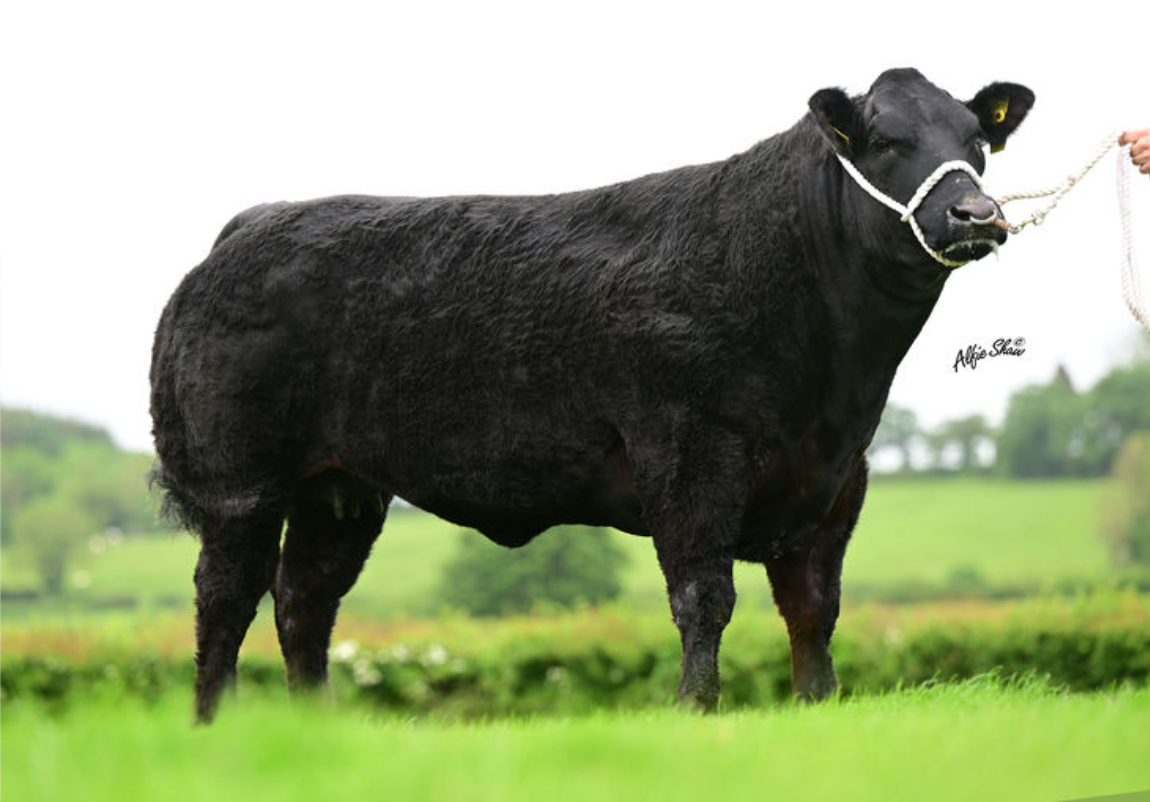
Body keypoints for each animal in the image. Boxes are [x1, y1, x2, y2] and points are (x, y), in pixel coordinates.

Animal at [150, 68, 1033, 723]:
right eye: (887, 142)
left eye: (978, 143)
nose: (975, 213)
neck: (836, 375)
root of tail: (251, 224)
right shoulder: (688, 450)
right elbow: (704, 595)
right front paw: (695, 709)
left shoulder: (839, 474)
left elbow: (815, 605)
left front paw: (818, 704)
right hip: (241, 482)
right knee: (226, 597)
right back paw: (213, 723)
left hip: (339, 489)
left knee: (304, 600)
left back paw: (317, 730)